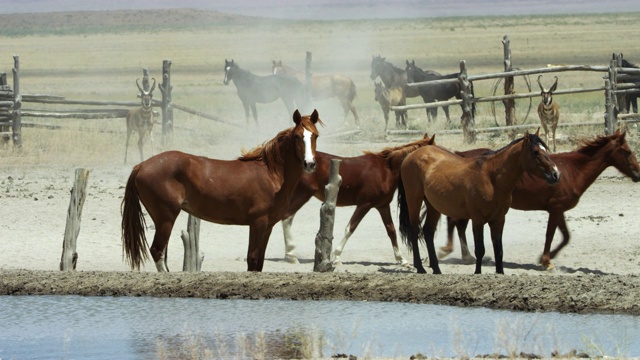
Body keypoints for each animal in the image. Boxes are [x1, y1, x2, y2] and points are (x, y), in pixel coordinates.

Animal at [122, 108, 322, 272]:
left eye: (315, 136)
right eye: (297, 136)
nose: (310, 164)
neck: (271, 174)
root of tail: (141, 165)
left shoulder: (268, 225)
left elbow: (259, 263)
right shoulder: (258, 222)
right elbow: (252, 259)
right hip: (166, 217)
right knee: (157, 251)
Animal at [280, 134, 436, 266]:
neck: (386, 170)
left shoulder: (383, 206)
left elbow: (391, 230)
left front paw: (401, 260)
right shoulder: (364, 204)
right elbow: (350, 227)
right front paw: (337, 257)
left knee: (286, 218)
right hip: (303, 194)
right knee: (286, 217)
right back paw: (291, 255)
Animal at [398, 131, 556, 274]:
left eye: (545, 150)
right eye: (535, 152)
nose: (555, 174)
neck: (491, 178)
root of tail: (411, 156)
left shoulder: (498, 220)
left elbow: (498, 249)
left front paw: (500, 273)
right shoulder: (477, 219)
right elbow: (480, 249)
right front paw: (477, 273)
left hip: (433, 206)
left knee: (428, 232)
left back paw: (436, 269)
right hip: (414, 200)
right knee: (414, 230)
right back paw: (420, 268)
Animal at [440, 129, 640, 270]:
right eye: (627, 152)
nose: (638, 174)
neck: (573, 171)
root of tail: (460, 155)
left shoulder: (558, 210)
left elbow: (566, 236)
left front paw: (547, 258)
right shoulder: (555, 209)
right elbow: (550, 235)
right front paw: (546, 262)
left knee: (458, 224)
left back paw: (465, 256)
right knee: (455, 222)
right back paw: (450, 252)